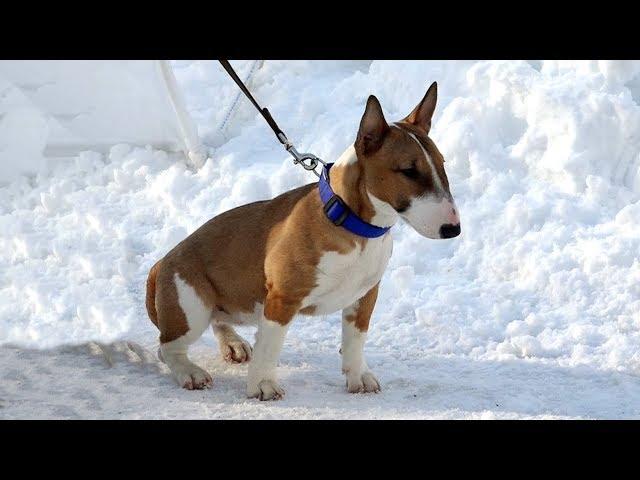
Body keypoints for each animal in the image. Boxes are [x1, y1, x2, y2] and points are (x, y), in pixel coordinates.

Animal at [146, 81, 460, 398]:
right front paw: (263, 385)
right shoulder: (282, 297)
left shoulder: (365, 295)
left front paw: (358, 376)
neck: (354, 225)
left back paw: (233, 344)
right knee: (167, 348)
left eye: (443, 164)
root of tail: (162, 262)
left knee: (219, 321)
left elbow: (355, 338)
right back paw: (191, 371)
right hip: (192, 308)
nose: (453, 229)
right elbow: (270, 346)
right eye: (409, 171)